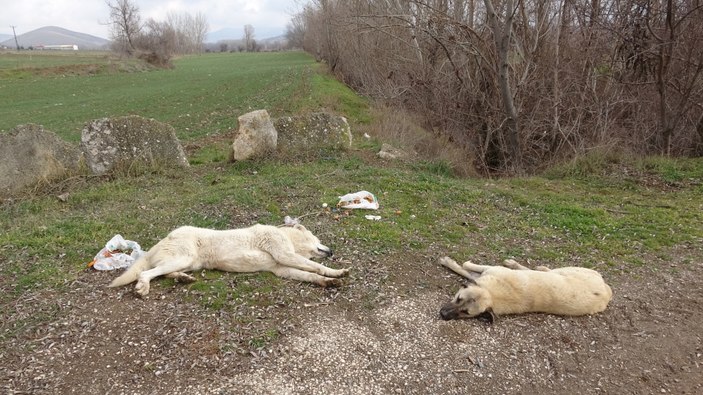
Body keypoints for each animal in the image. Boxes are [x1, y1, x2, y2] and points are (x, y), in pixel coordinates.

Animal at [109, 223, 350, 296]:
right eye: (318, 238)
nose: (332, 251)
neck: (287, 237)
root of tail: (161, 241)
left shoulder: (283, 268)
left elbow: (311, 275)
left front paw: (329, 281)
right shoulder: (285, 255)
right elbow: (315, 265)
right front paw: (336, 272)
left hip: (186, 262)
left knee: (164, 273)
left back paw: (182, 279)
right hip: (183, 257)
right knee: (146, 273)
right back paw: (143, 287)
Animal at [438, 258, 612, 324]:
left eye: (466, 313)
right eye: (458, 299)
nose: (443, 314)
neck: (493, 295)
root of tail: (607, 291)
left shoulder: (490, 271)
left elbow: (466, 267)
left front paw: (451, 262)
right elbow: (466, 270)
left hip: (567, 271)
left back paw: (517, 264)